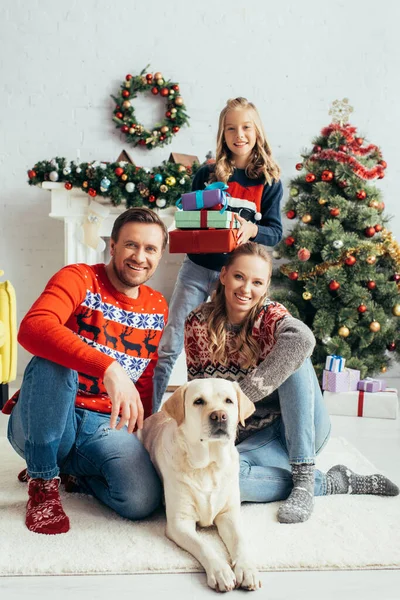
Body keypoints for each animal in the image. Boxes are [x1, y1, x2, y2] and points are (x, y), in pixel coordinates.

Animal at [139, 380, 260, 592]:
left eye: (228, 401)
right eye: (198, 401)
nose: (219, 415)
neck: (208, 466)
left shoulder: (229, 514)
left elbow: (240, 541)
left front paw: (246, 568)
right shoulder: (180, 523)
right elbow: (203, 546)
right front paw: (221, 571)